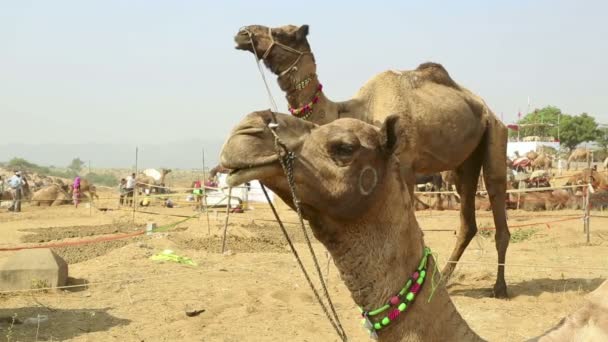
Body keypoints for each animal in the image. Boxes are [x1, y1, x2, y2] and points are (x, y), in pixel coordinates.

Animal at [235, 24, 510, 296]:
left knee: (496, 195)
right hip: (465, 163)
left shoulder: (404, 165)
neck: (357, 110)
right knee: (467, 220)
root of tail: (485, 108)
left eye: (283, 33)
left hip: (495, 135)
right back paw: (445, 278)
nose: (242, 33)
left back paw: (500, 287)